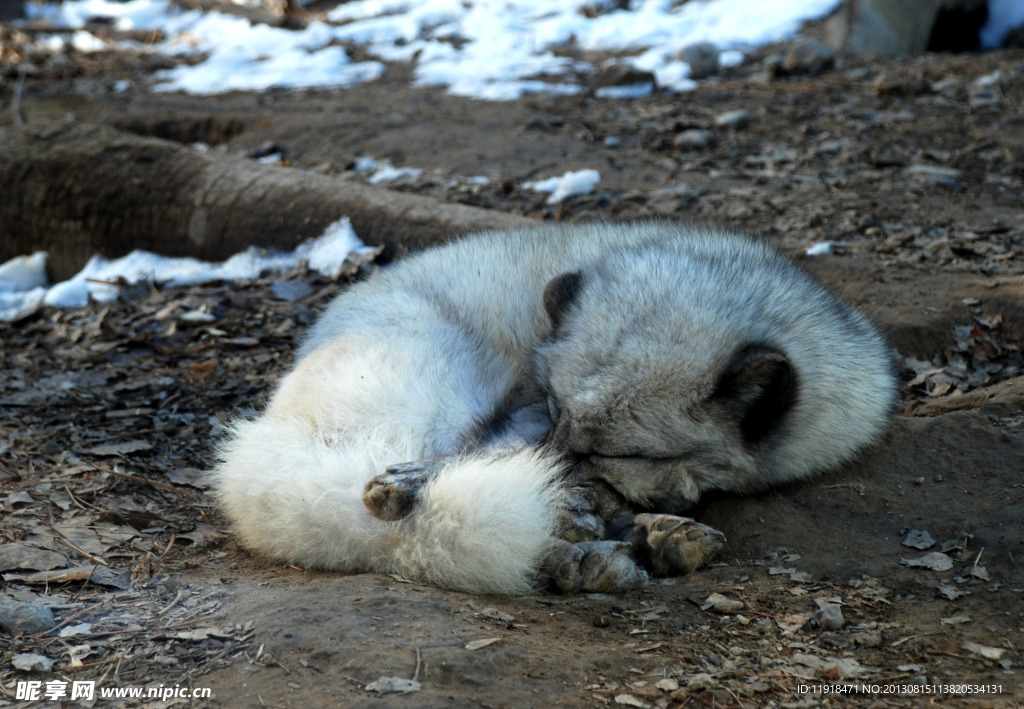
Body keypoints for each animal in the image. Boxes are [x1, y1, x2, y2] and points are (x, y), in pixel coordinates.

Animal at [214, 221, 897, 594]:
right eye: (554, 409)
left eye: (618, 450)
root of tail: (273, 428)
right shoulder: (525, 419)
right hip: (439, 390)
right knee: (420, 509)